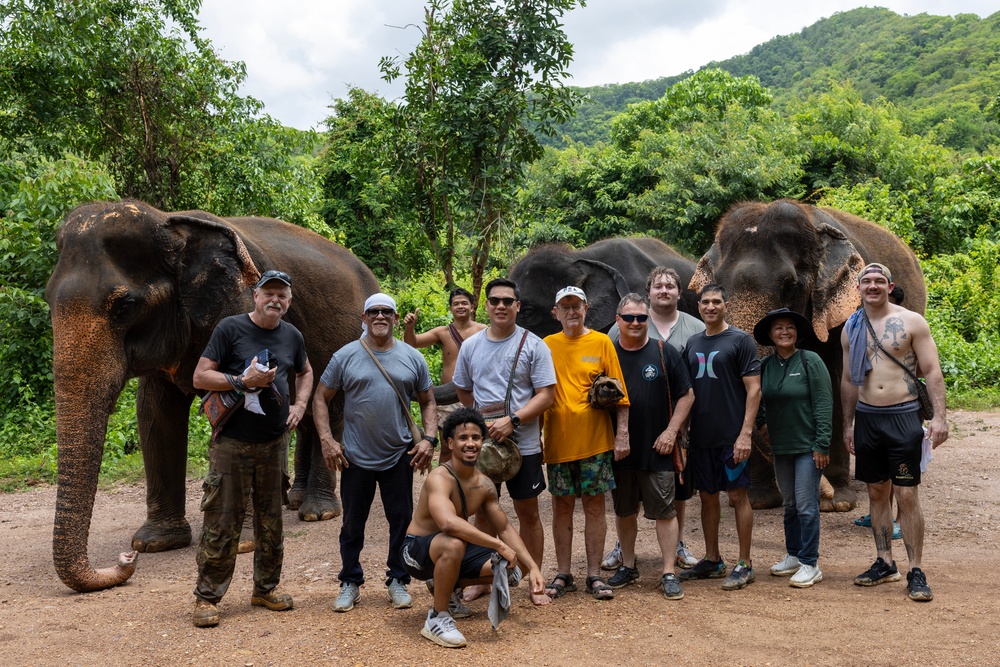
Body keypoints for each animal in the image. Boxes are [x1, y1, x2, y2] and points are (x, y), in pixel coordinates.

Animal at [43, 201, 380, 592]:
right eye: (47, 298)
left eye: (124, 306)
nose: (126, 560)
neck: (170, 225)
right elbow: (155, 413)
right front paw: (154, 543)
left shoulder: (239, 304)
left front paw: (243, 543)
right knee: (307, 412)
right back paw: (294, 502)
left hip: (348, 339)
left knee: (330, 406)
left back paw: (317, 512)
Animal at [688, 198, 928, 512]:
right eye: (719, 288)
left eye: (790, 287)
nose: (824, 490)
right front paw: (758, 501)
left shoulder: (840, 317)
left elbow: (835, 383)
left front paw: (837, 502)